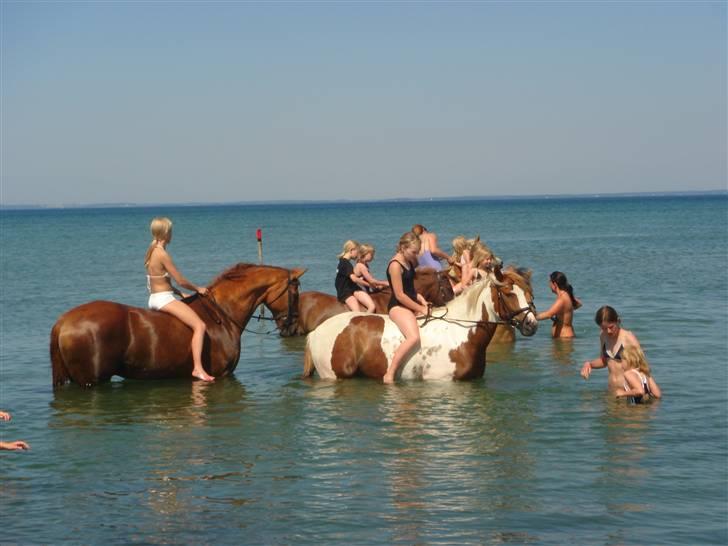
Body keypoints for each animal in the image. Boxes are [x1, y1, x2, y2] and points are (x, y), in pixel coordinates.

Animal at [49, 264, 304, 386]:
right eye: (295, 290)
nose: (292, 327)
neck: (222, 314)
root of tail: (63, 322)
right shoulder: (222, 375)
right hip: (90, 380)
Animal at [300, 266, 536, 378]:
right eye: (508, 293)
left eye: (527, 292)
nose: (531, 324)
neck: (461, 335)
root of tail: (316, 332)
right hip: (333, 375)